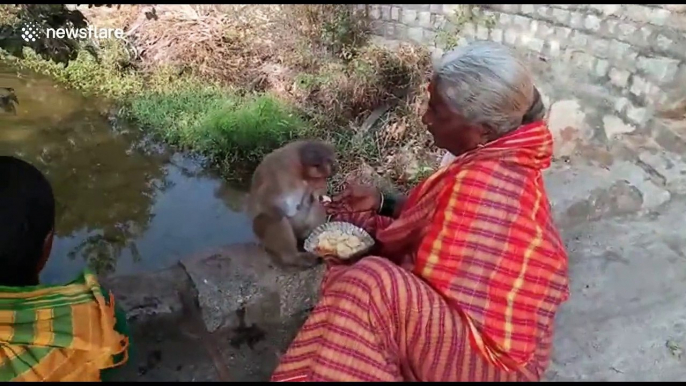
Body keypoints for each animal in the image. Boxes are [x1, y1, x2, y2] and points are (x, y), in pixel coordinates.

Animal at [249, 140, 340, 270]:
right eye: (331, 163)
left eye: (333, 160)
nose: (335, 167)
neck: (301, 169)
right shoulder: (279, 169)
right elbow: (264, 200)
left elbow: (316, 197)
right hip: (260, 230)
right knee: (272, 218)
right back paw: (293, 257)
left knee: (316, 206)